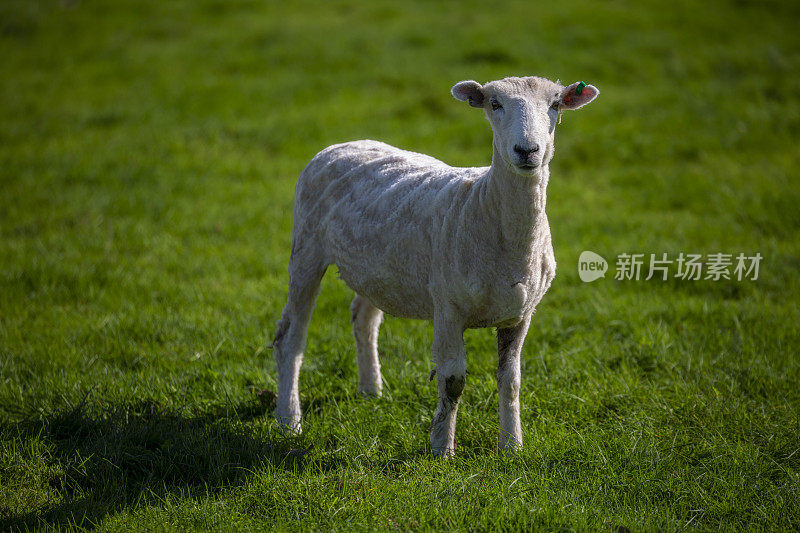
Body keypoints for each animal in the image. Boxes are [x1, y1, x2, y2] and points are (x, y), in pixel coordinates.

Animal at [272, 75, 596, 456]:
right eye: (494, 104)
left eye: (556, 105)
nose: (527, 151)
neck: (486, 207)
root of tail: (343, 144)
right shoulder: (448, 307)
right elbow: (453, 381)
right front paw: (443, 449)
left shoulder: (520, 314)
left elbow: (511, 380)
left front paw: (512, 445)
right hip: (306, 249)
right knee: (290, 338)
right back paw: (289, 420)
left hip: (379, 268)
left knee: (363, 318)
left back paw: (371, 390)